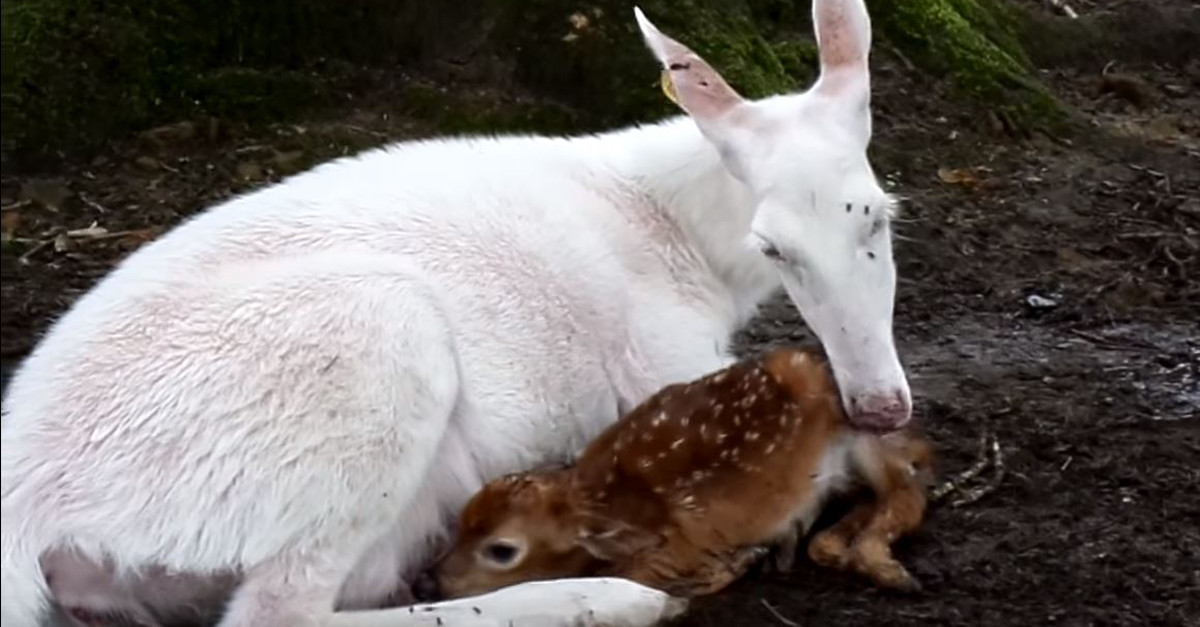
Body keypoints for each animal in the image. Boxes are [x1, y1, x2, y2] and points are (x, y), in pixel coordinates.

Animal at [434, 343, 936, 598]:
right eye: (459, 524)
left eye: (502, 550)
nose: (430, 580)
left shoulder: (669, 551)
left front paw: (738, 562)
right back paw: (827, 544)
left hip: (860, 435)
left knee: (908, 489)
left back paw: (885, 568)